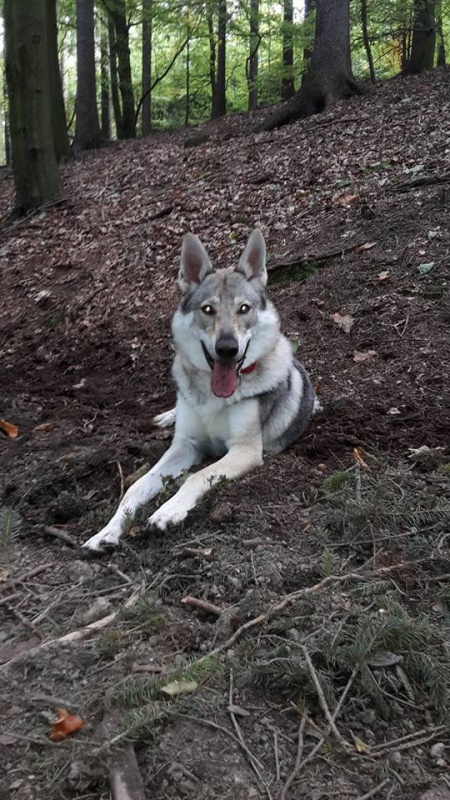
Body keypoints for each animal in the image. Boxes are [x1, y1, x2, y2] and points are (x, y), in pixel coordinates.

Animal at [82, 228, 318, 552]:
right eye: (208, 309)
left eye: (243, 309)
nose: (227, 348)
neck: (213, 398)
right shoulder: (184, 446)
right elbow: (135, 488)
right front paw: (106, 532)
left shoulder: (245, 451)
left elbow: (195, 477)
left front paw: (167, 512)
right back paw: (166, 416)